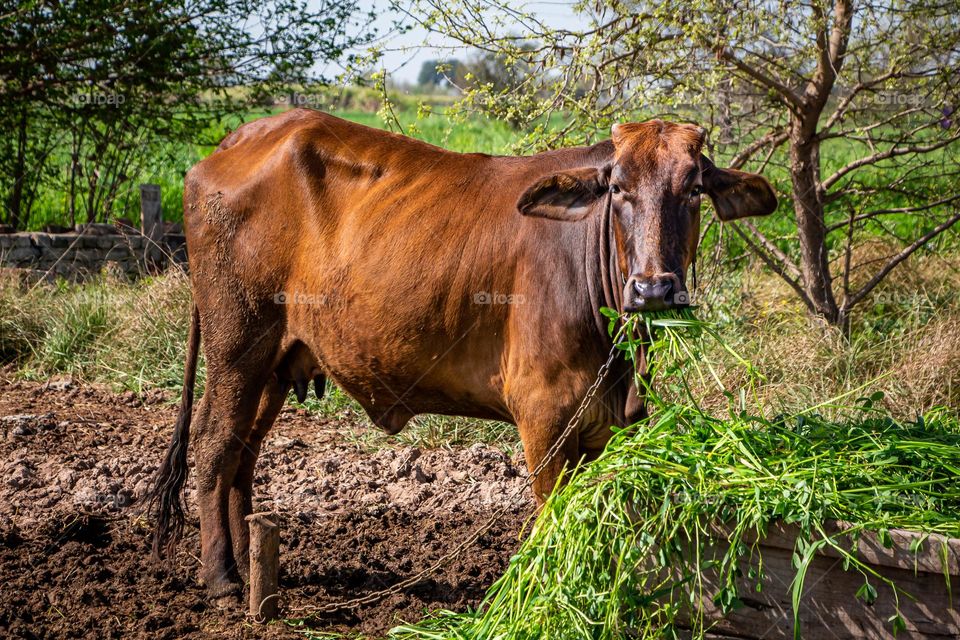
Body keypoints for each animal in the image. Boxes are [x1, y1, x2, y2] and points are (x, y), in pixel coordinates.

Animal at [147, 109, 777, 601]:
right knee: (214, 445)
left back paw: (252, 568)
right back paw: (222, 577)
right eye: (618, 188)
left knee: (243, 455)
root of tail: (239, 137)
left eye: (693, 188)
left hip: (276, 363)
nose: (654, 289)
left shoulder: (605, 425)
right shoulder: (544, 416)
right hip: (236, 347)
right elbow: (549, 517)